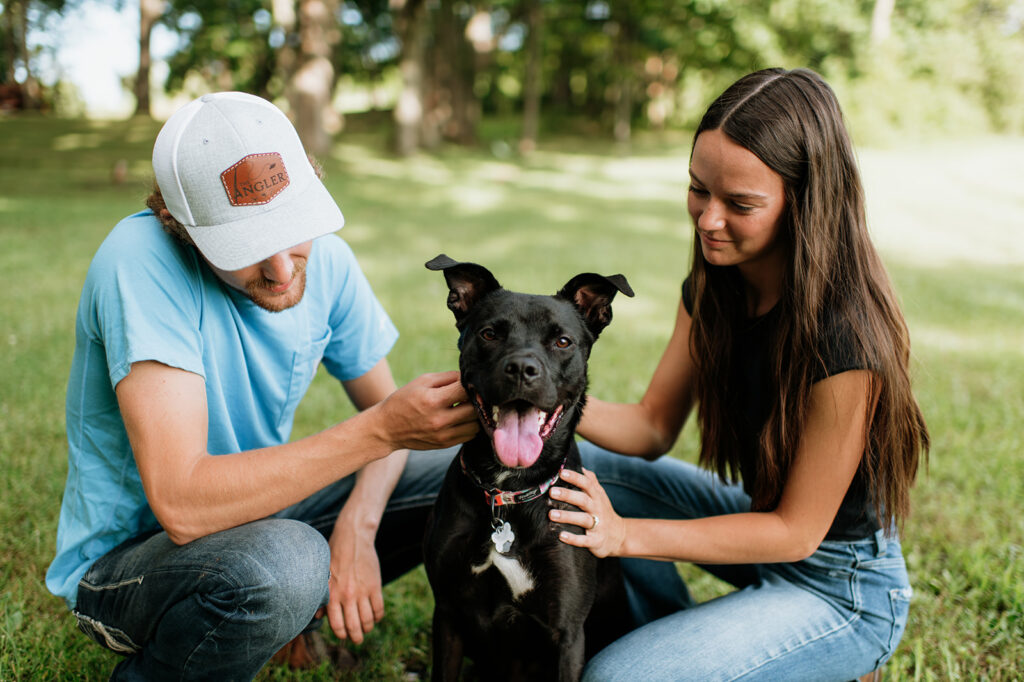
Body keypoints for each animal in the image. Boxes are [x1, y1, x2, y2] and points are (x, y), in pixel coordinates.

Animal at [421, 254, 630, 679]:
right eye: (489, 334)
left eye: (563, 341)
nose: (521, 369)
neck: (509, 490)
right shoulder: (448, 614)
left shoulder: (568, 633)